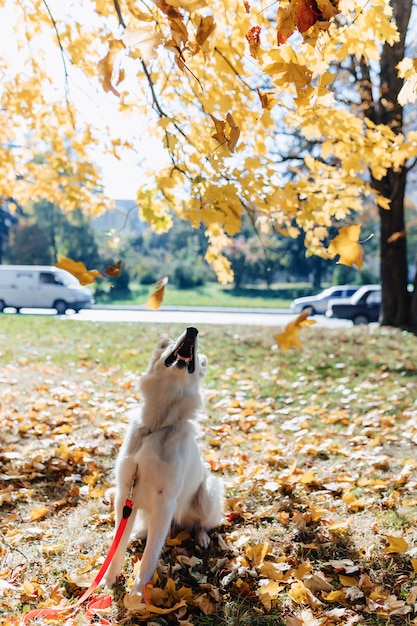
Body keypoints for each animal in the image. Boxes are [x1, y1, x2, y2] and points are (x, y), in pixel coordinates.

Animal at [103, 326, 223, 596]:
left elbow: (150, 557)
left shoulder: (165, 503)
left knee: (201, 523)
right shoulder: (125, 493)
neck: (158, 425)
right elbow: (118, 543)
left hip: (209, 490)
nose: (192, 330)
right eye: (166, 344)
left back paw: (201, 536)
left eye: (199, 357)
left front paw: (137, 594)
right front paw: (108, 580)